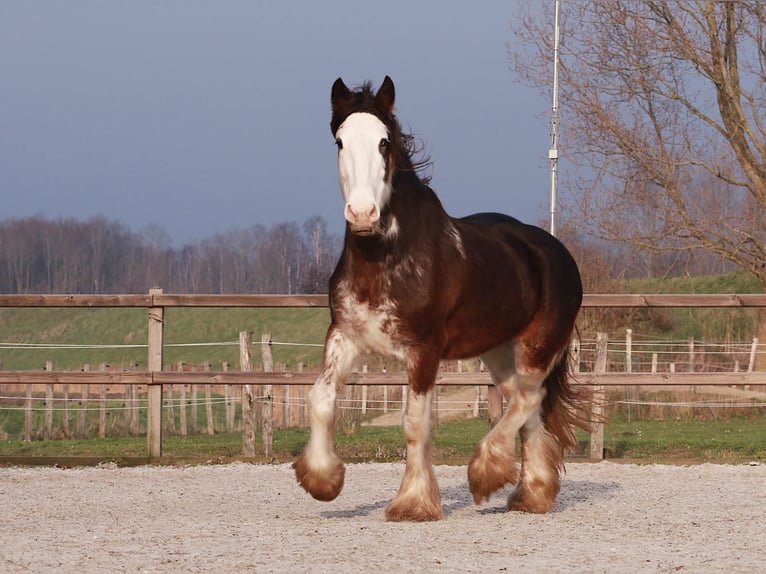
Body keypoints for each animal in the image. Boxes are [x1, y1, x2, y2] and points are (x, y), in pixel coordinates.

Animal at [292, 75, 588, 520]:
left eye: (384, 143)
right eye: (340, 142)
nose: (362, 214)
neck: (384, 259)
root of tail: (556, 251)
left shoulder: (424, 350)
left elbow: (416, 423)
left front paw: (413, 502)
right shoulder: (344, 336)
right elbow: (320, 400)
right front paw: (322, 479)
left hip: (537, 345)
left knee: (529, 397)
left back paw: (487, 472)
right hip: (498, 351)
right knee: (525, 404)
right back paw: (532, 494)